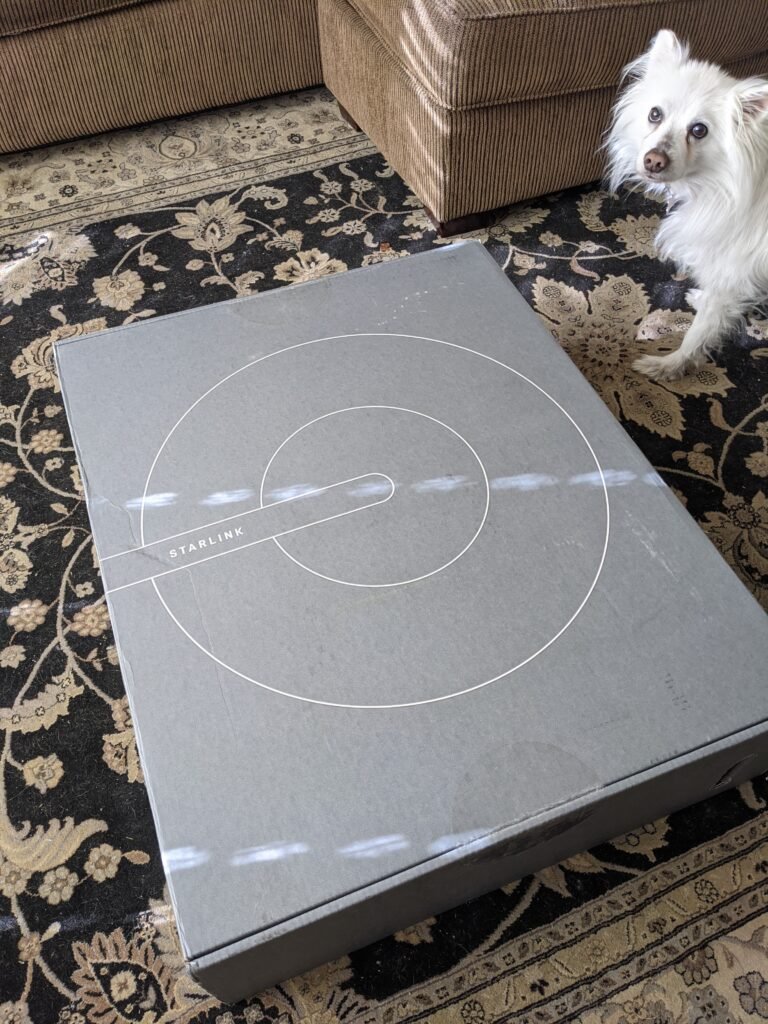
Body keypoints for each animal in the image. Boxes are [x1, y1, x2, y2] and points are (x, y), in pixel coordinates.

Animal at [605, 29, 768, 380]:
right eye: (655, 114)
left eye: (699, 130)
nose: (654, 160)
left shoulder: (729, 276)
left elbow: (699, 332)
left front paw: (669, 365)